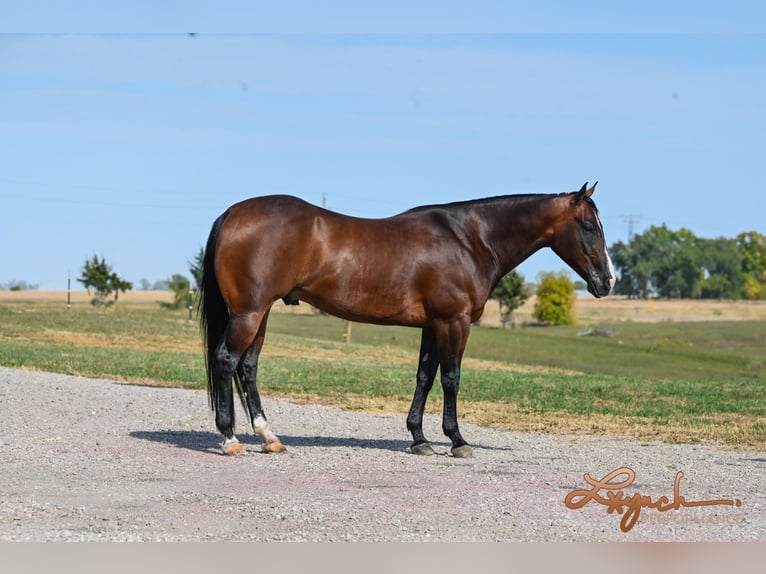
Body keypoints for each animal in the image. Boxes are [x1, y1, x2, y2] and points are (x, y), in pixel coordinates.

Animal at [200, 183, 616, 460]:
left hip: (261, 313)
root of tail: (232, 214)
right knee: (226, 360)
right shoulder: (454, 322)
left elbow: (424, 377)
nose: (607, 281)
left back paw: (269, 438)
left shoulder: (432, 325)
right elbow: (451, 379)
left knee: (248, 368)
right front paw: (457, 440)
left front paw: (420, 438)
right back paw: (231, 439)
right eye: (588, 226)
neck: (469, 239)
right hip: (249, 313)